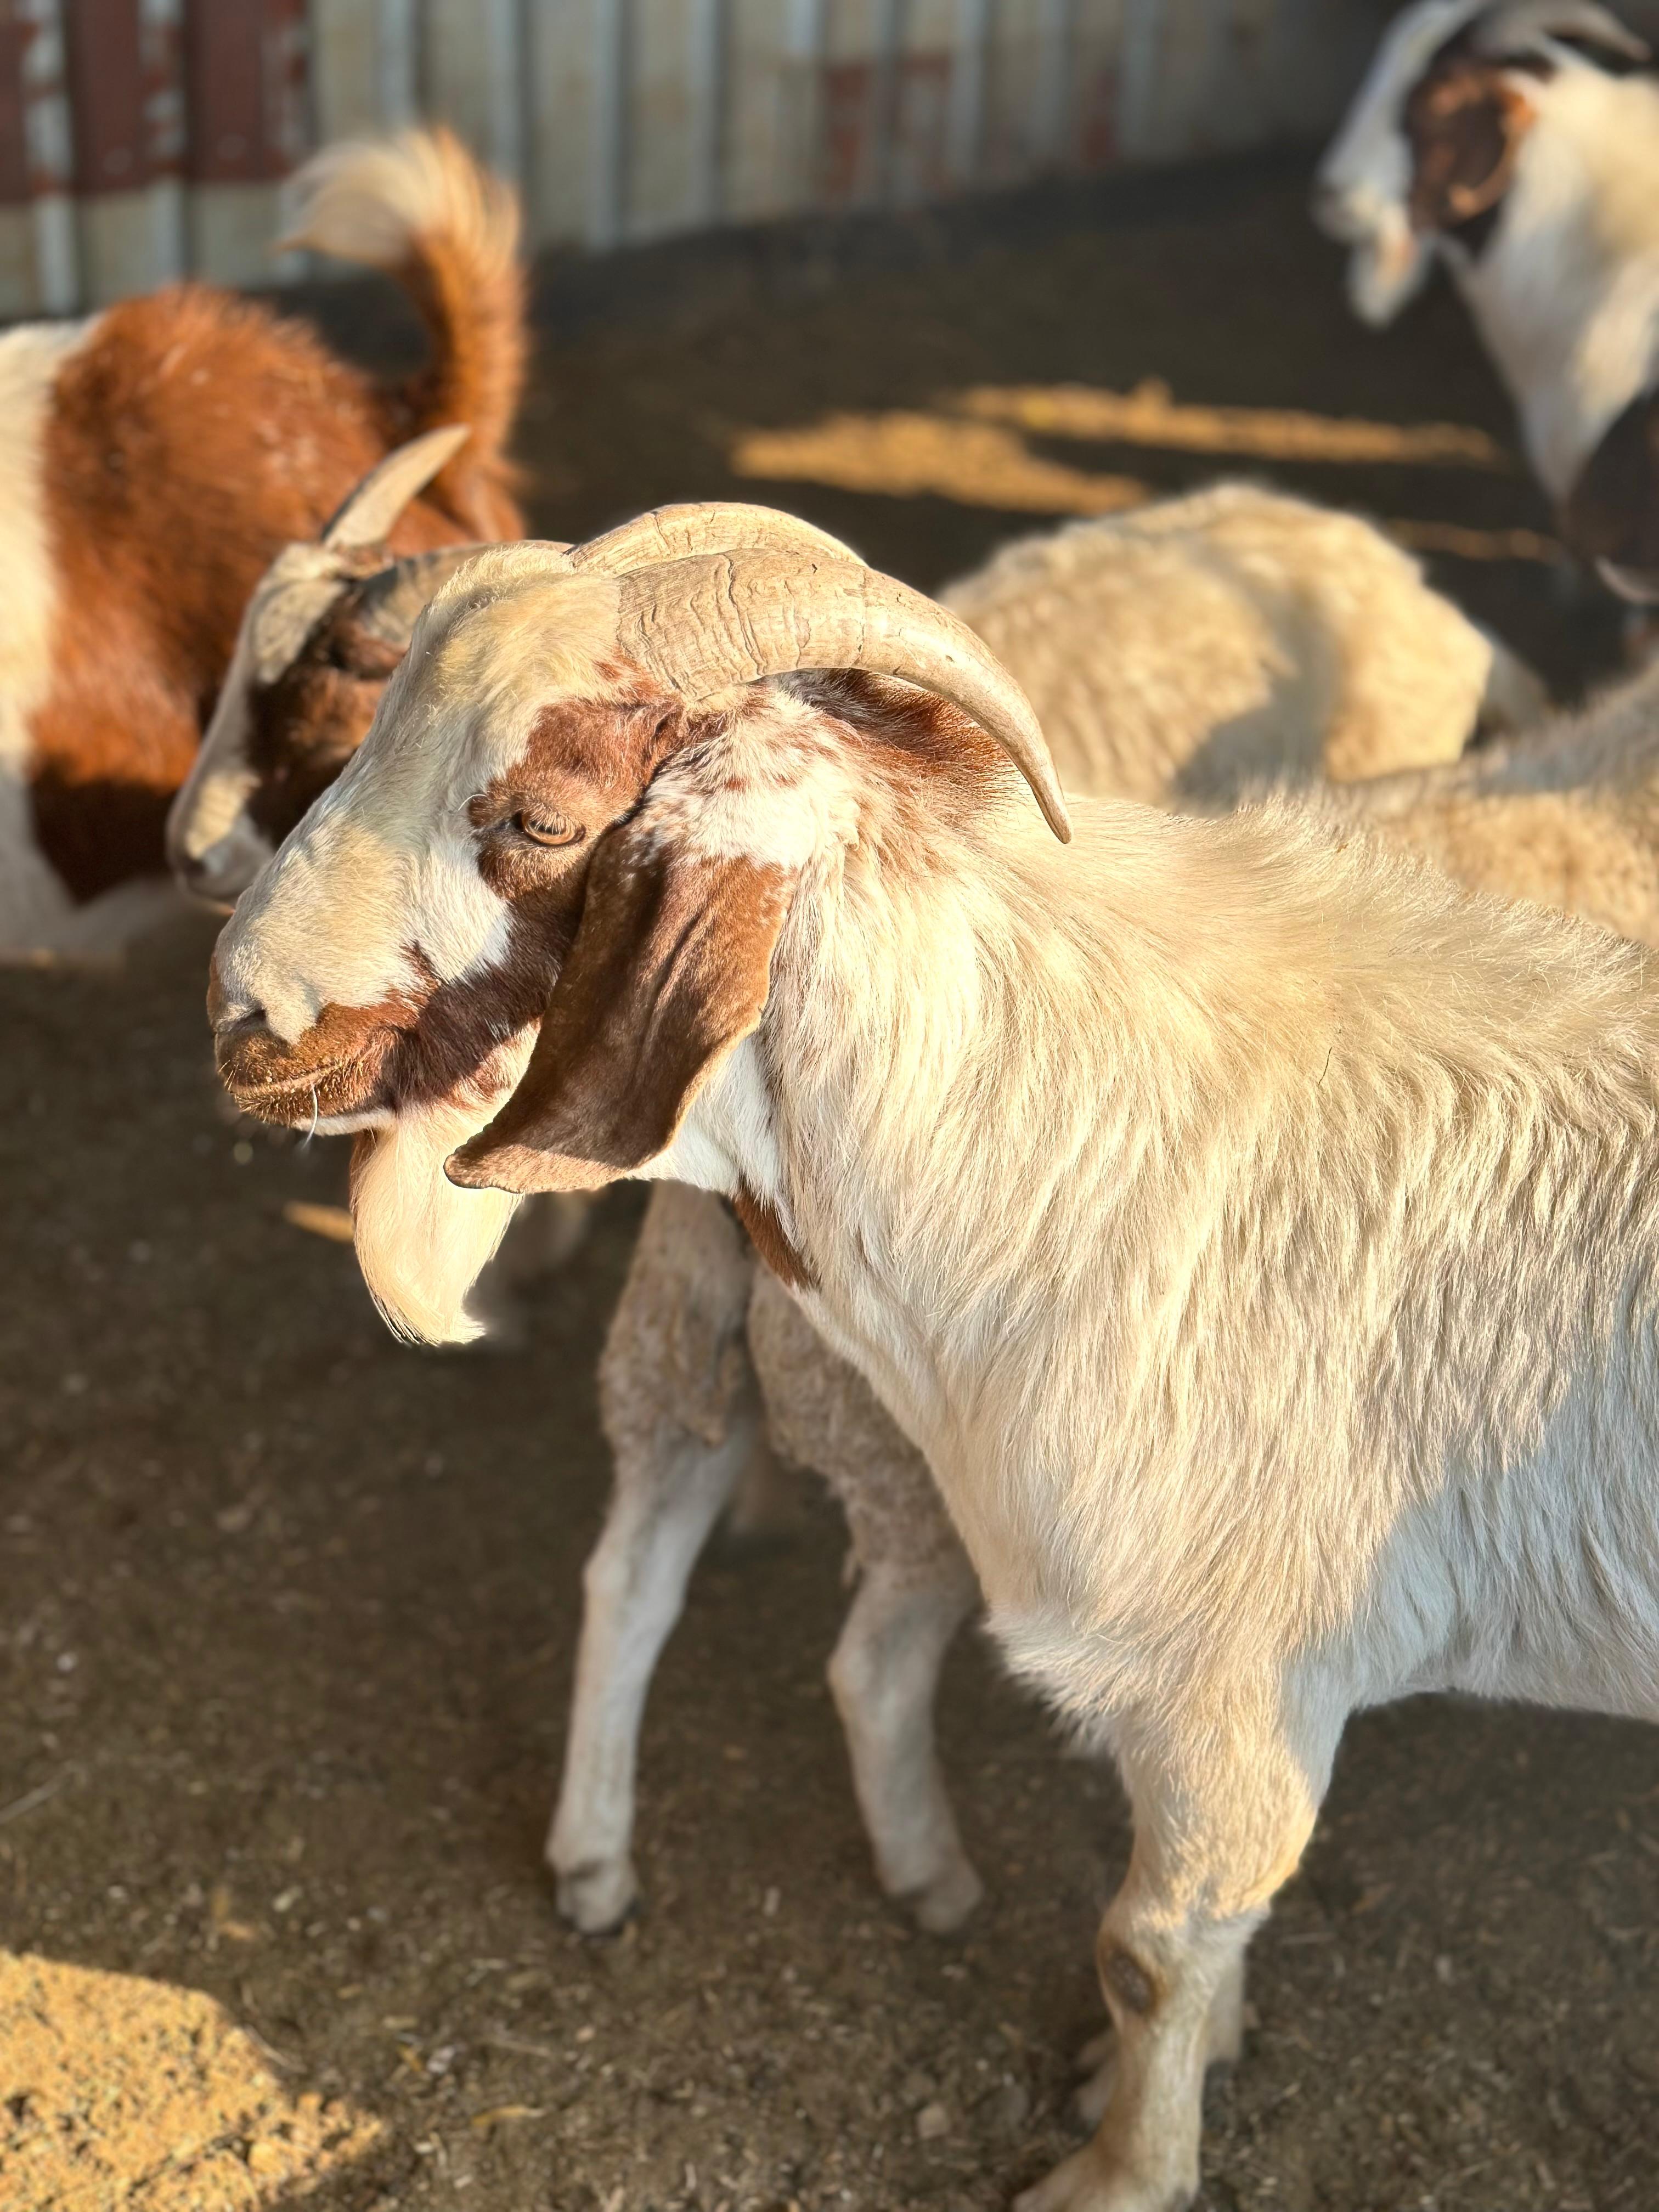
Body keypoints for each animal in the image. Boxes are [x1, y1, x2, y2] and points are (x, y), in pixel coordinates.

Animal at [211, 531, 1659, 2210]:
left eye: (541, 820)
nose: (239, 1019)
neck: (1066, 1134)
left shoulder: (1237, 1684)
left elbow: (1151, 1950)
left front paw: (1119, 2170)